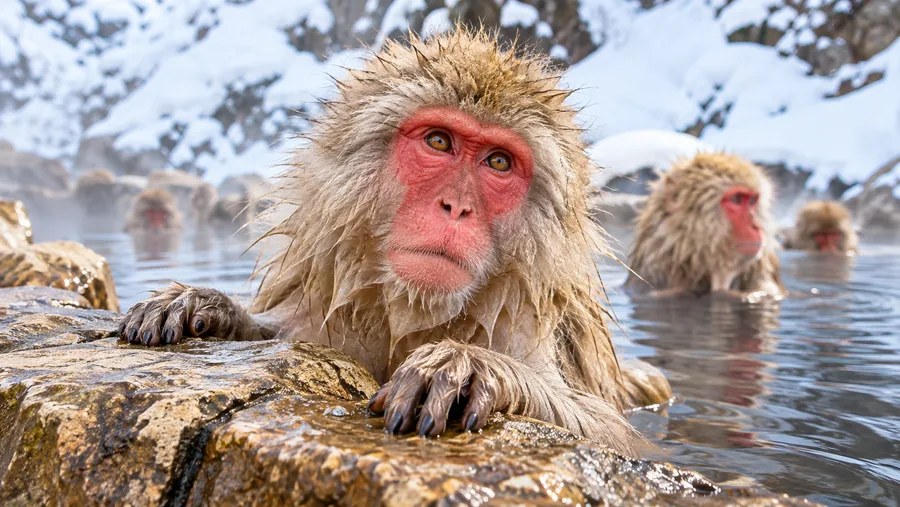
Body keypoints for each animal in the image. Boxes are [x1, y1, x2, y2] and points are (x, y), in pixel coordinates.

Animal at [117, 29, 673, 457]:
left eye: (497, 162)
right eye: (439, 141)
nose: (456, 207)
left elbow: (615, 435)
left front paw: (470, 367)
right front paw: (206, 304)